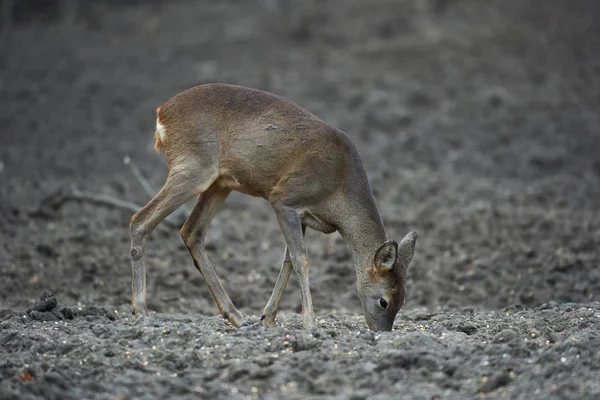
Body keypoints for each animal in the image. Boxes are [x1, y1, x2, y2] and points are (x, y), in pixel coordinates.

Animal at [129, 82, 420, 332]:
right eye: (383, 300)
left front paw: (268, 319)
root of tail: (162, 112)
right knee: (140, 219)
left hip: (219, 183)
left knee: (191, 231)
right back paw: (141, 311)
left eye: (404, 299)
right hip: (191, 167)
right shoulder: (284, 198)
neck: (340, 189)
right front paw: (310, 324)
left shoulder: (303, 216)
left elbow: (288, 260)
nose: (382, 333)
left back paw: (236, 316)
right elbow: (301, 259)